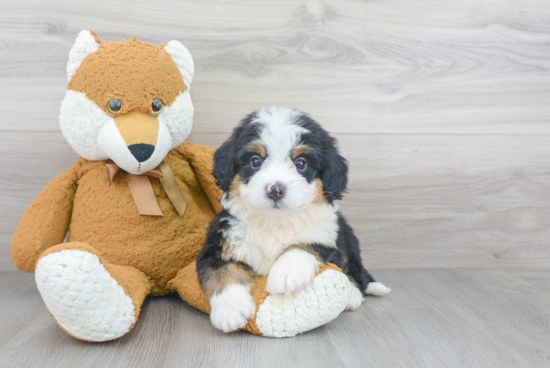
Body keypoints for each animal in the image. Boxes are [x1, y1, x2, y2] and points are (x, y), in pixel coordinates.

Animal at [196, 107, 390, 334]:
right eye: (256, 161)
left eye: (301, 163)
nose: (275, 190)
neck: (274, 222)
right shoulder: (218, 244)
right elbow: (222, 272)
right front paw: (230, 309)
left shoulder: (327, 236)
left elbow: (304, 245)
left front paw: (287, 273)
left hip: (348, 238)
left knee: (354, 272)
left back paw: (352, 294)